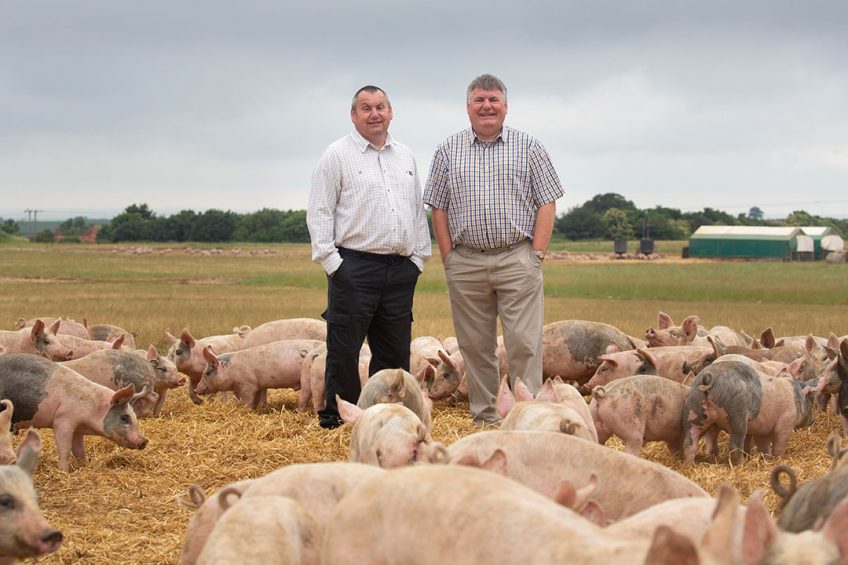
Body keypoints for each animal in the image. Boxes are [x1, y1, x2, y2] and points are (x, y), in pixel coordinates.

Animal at [0, 352, 148, 472]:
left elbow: (79, 451)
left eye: (135, 416)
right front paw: (64, 472)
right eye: (125, 418)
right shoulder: (63, 420)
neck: (93, 409)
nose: (144, 441)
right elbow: (65, 450)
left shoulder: (78, 430)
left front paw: (84, 466)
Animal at [684, 356, 816, 462]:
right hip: (737, 415)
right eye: (810, 401)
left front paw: (765, 459)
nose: (813, 421)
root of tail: (708, 380)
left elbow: (762, 444)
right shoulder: (785, 421)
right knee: (735, 445)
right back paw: (740, 463)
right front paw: (776, 459)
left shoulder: (762, 428)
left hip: (695, 411)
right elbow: (778, 443)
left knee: (695, 441)